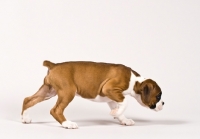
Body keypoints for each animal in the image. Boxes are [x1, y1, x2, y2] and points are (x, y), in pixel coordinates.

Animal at [21, 60, 164, 129]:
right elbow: (125, 102)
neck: (135, 81)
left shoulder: (111, 97)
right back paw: (67, 124)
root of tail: (54, 65)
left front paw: (122, 118)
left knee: (28, 100)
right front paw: (115, 114)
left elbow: (120, 107)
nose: (163, 103)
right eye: (158, 96)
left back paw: (25, 118)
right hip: (68, 92)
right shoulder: (109, 89)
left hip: (48, 91)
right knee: (55, 110)